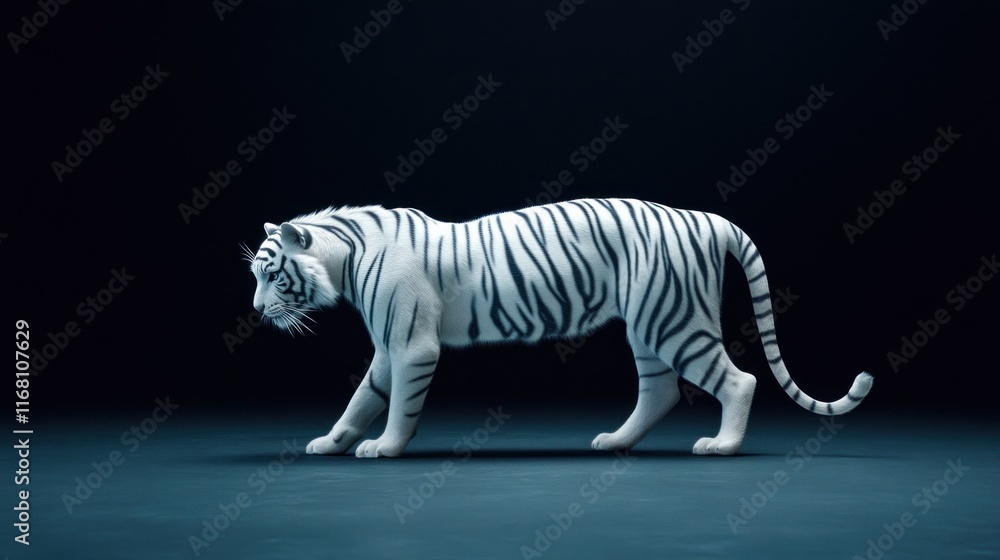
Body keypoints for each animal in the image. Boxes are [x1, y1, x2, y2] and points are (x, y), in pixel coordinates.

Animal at [246, 198, 872, 458]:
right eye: (255, 274)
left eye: (272, 276)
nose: (254, 310)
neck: (345, 261)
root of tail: (708, 218)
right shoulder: (388, 347)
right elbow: (362, 397)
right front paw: (331, 442)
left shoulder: (412, 345)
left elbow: (398, 403)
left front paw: (386, 448)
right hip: (650, 324)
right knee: (661, 390)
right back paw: (615, 441)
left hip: (675, 321)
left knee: (738, 380)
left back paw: (722, 446)